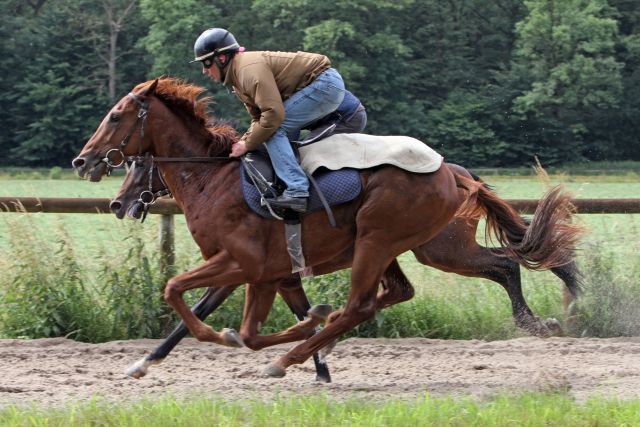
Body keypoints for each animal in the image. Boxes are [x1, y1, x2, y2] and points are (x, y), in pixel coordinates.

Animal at [72, 77, 584, 378]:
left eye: (116, 116)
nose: (84, 161)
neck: (213, 177)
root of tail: (452, 172)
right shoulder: (266, 271)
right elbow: (234, 316)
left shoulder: (243, 263)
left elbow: (180, 293)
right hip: (408, 248)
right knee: (435, 282)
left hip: (391, 241)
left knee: (369, 301)